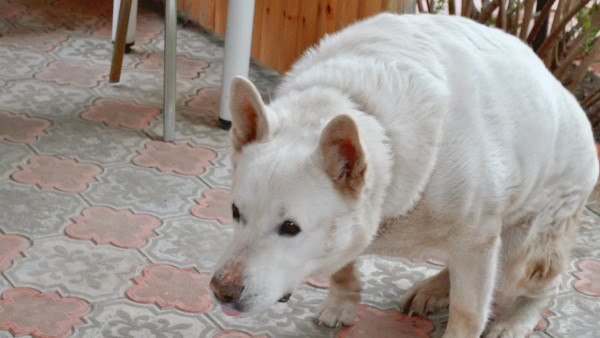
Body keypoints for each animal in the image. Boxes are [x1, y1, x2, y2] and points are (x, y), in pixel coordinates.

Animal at [209, 13, 596, 338]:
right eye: (235, 212)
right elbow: (342, 266)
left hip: (523, 251)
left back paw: (515, 320)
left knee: (545, 282)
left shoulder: (478, 239)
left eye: (290, 228)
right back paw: (435, 289)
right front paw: (343, 302)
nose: (220, 292)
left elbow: (469, 312)